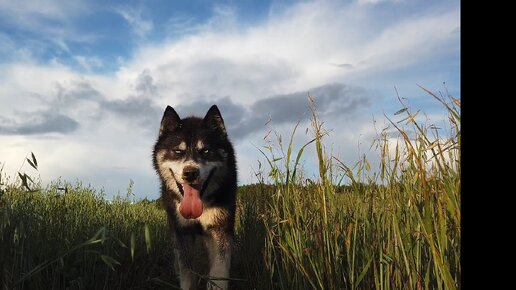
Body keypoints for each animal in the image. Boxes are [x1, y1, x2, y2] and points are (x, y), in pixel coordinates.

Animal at [151, 105, 236, 290]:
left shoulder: (219, 229)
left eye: (205, 151)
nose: (190, 173)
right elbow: (187, 272)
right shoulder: (183, 232)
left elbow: (219, 271)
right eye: (177, 151)